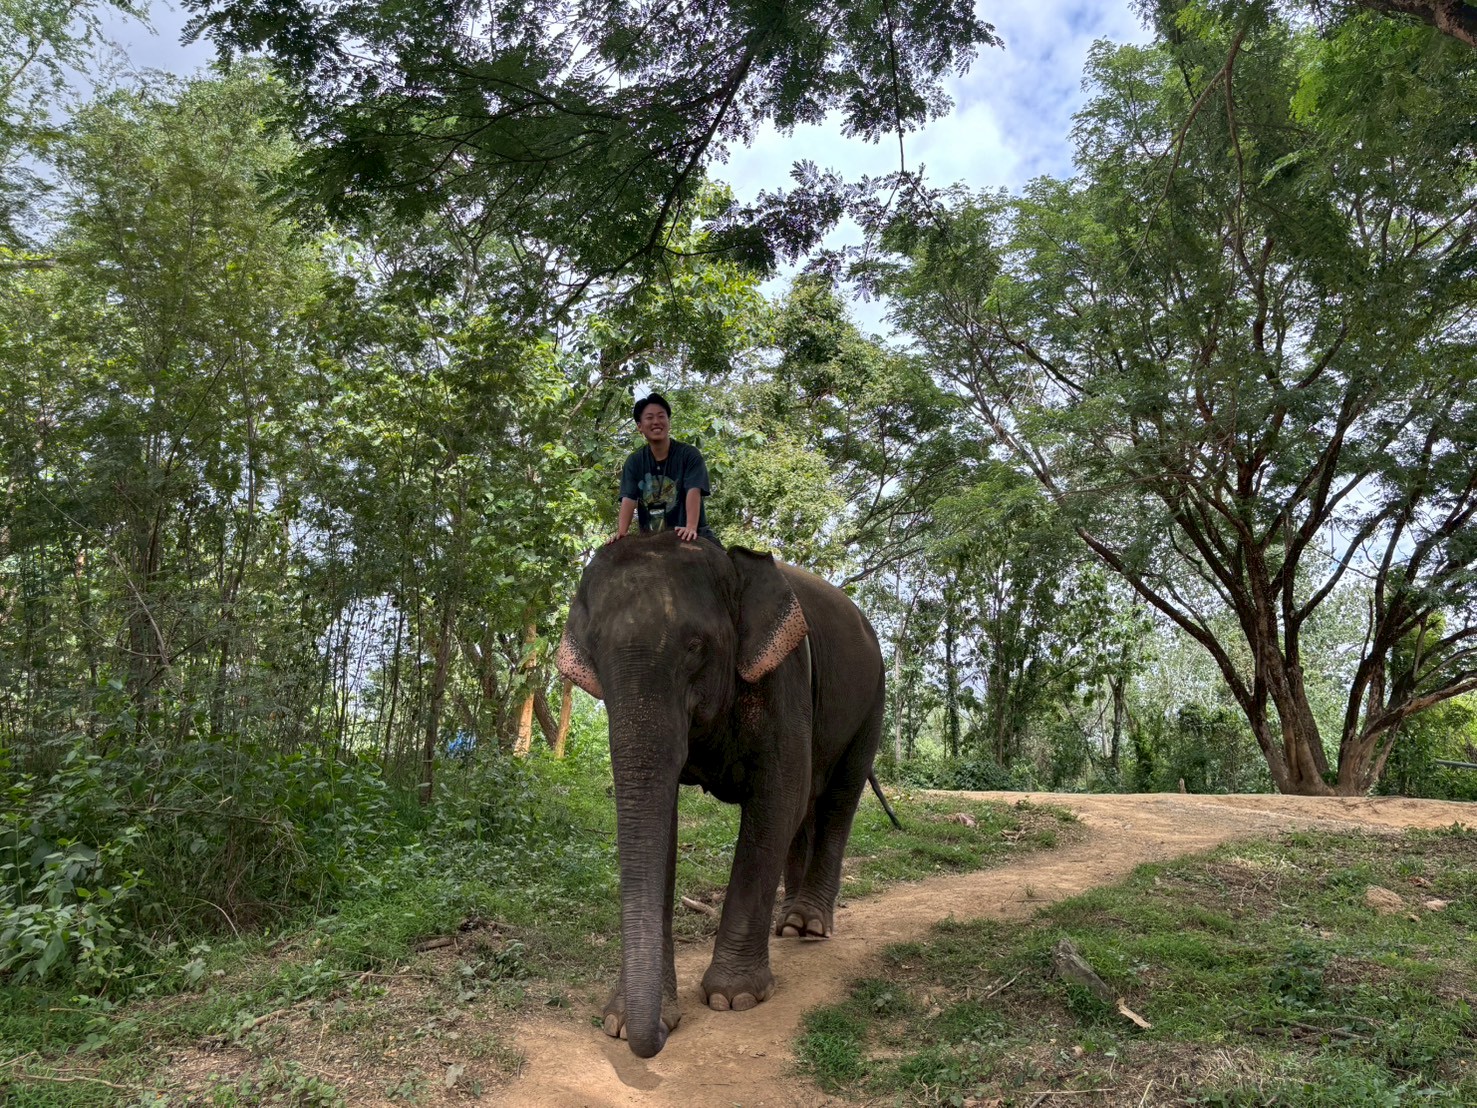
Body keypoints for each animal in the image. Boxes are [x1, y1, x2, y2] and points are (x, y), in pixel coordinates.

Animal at [555, 530, 886, 1058]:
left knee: (836, 798)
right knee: (808, 811)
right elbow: (664, 816)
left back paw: (810, 925)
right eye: (594, 651)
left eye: (696, 646)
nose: (656, 1039)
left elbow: (778, 798)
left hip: (872, 696)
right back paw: (788, 924)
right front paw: (622, 1022)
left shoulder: (783, 677)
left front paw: (735, 998)